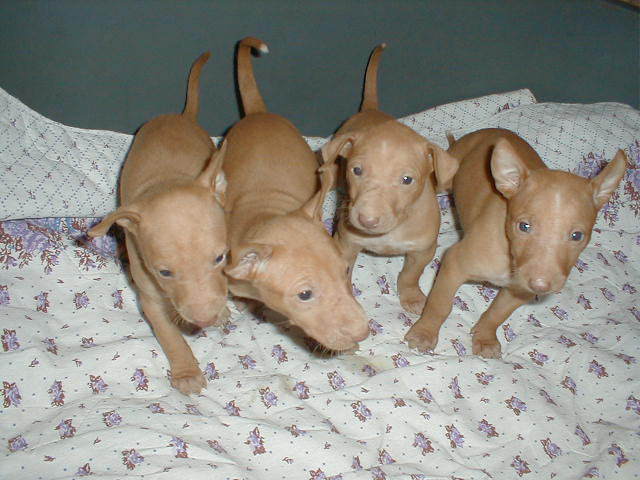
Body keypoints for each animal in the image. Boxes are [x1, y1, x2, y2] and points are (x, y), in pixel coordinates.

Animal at [88, 52, 228, 394]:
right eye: (165, 272)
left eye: (220, 257)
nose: (204, 320)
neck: (167, 181)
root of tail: (179, 116)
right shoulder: (149, 293)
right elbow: (169, 334)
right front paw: (186, 371)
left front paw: (223, 308)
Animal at [320, 44, 459, 315]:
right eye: (357, 170)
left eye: (407, 179)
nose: (368, 220)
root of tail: (371, 109)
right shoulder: (345, 244)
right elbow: (343, 274)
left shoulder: (423, 250)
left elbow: (410, 274)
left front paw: (412, 296)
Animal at [405, 128, 628, 358]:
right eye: (524, 226)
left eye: (577, 236)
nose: (541, 284)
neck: (509, 252)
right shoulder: (454, 265)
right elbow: (439, 305)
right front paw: (425, 332)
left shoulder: (520, 290)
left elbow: (497, 314)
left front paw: (485, 337)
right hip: (446, 178)